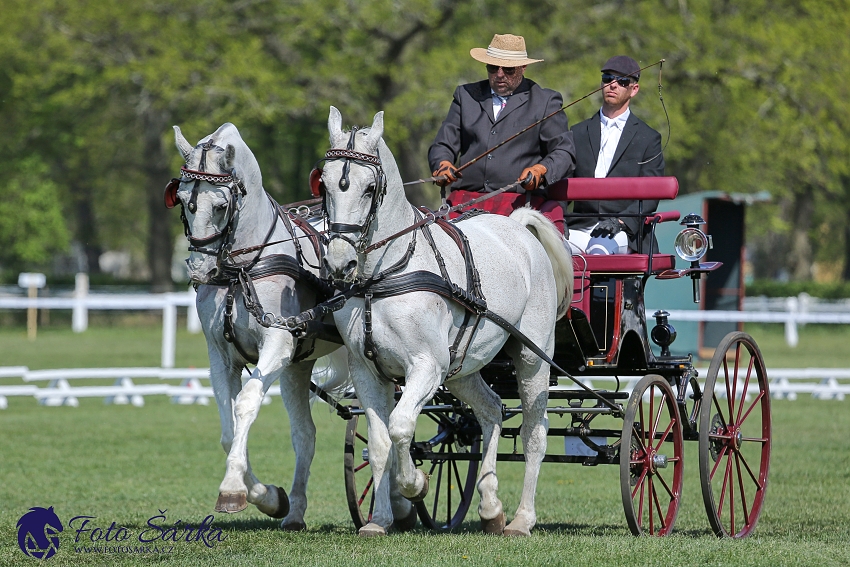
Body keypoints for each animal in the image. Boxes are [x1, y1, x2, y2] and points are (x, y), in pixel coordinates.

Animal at [168, 123, 344, 532]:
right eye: (183, 201)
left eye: (221, 206)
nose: (200, 270)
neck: (241, 271)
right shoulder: (221, 357)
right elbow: (228, 427)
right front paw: (268, 497)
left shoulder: (277, 345)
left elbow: (246, 403)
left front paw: (233, 488)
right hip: (298, 366)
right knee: (305, 435)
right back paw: (294, 513)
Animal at [322, 106, 572, 536]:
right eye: (324, 184)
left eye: (369, 188)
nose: (341, 264)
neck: (381, 278)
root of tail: (518, 226)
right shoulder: (368, 372)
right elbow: (380, 443)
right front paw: (380, 520)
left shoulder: (425, 366)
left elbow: (401, 426)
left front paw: (415, 485)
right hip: (461, 369)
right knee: (491, 411)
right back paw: (490, 508)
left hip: (531, 358)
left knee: (534, 433)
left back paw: (522, 519)